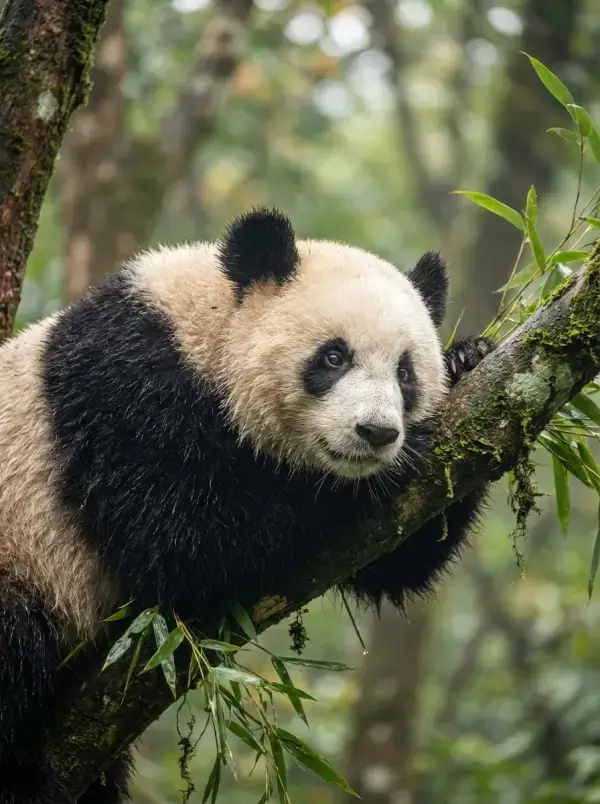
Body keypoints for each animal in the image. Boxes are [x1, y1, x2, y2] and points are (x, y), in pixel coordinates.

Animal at [0, 208, 494, 803]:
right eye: (334, 356)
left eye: (405, 372)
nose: (377, 434)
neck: (204, 326)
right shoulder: (123, 388)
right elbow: (183, 537)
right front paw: (367, 479)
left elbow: (394, 563)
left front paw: (469, 359)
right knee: (12, 648)